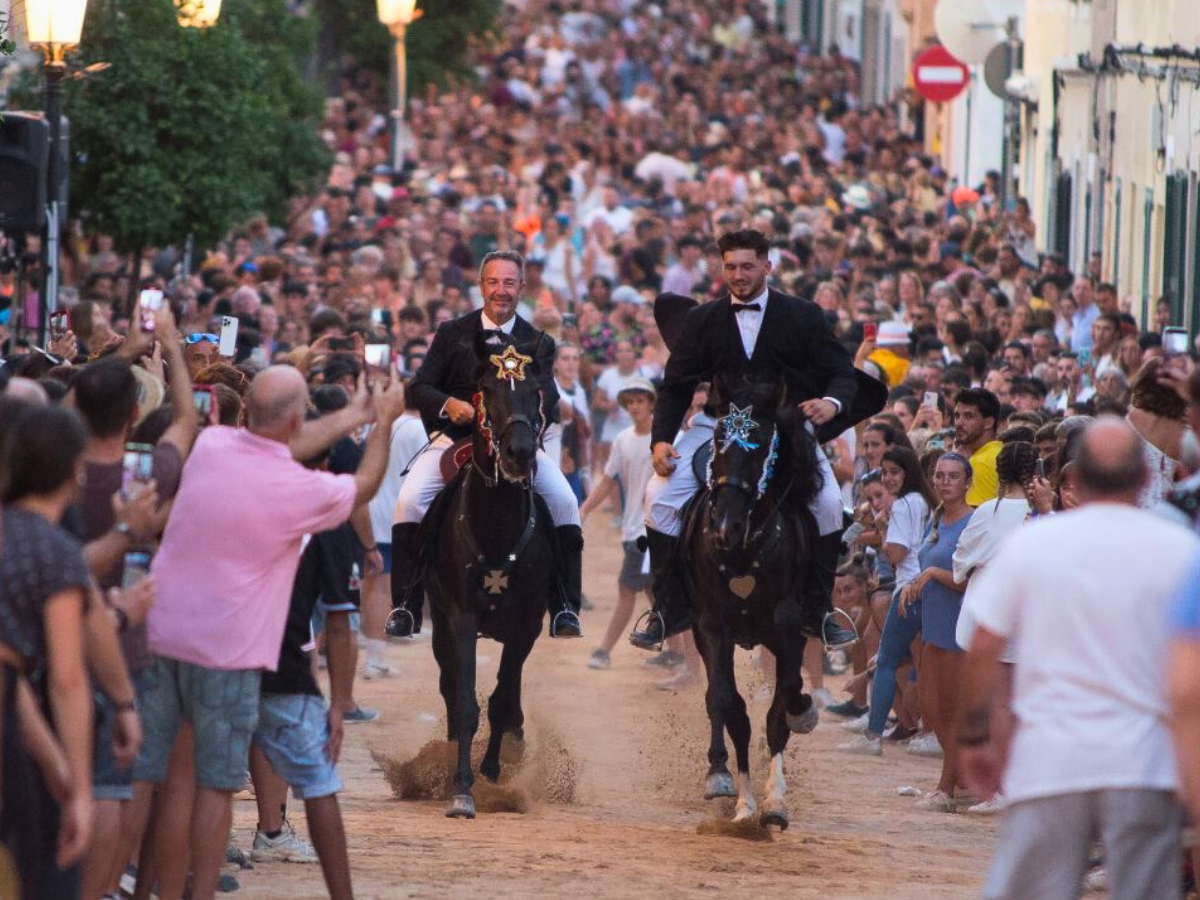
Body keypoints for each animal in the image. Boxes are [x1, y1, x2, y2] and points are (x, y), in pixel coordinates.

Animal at [420, 336, 559, 820]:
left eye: (536, 392)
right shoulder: (459, 618)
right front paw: (462, 787)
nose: (519, 453)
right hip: (439, 625)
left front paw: (493, 771)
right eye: (487, 392)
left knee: (508, 696)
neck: (496, 523)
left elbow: (500, 701)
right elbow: (464, 701)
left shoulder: (525, 625)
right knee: (448, 688)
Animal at [686, 374, 825, 830]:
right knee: (719, 701)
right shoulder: (712, 628)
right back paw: (721, 777)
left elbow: (783, 704)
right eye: (717, 440)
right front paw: (742, 801)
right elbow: (730, 707)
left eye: (763, 447)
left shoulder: (790, 627)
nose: (724, 529)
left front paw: (775, 801)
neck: (745, 552)